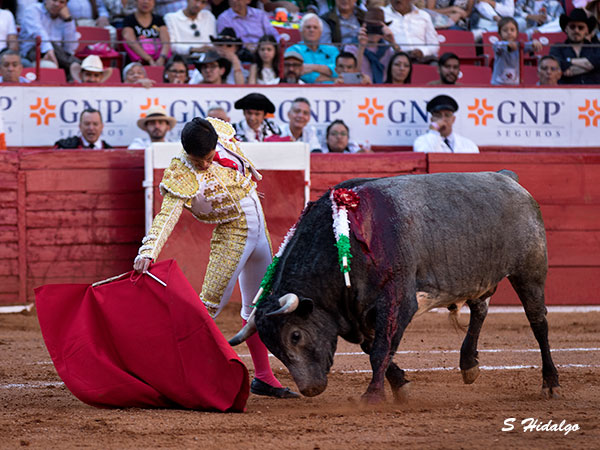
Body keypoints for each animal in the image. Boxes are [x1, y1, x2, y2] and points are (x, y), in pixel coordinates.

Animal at [231, 171, 564, 402]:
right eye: (272, 346)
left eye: (295, 335)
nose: (310, 389)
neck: (343, 241)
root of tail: (508, 178)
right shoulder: (358, 310)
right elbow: (374, 348)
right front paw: (401, 386)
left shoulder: (397, 300)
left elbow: (381, 349)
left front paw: (373, 396)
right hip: (478, 276)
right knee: (480, 310)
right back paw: (469, 364)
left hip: (530, 272)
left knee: (538, 322)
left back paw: (551, 383)